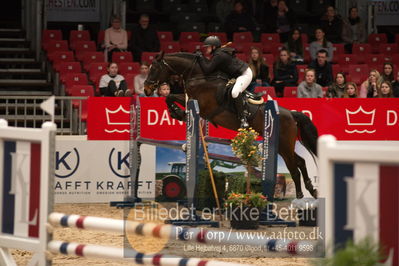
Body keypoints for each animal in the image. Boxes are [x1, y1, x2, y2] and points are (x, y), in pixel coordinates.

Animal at [144, 51, 318, 200]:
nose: (146, 89)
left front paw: (177, 113)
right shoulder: (192, 100)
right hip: (283, 146)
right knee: (301, 161)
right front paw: (177, 113)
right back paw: (311, 190)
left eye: (154, 69)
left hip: (283, 145)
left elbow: (172, 97)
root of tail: (291, 114)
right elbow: (171, 96)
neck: (200, 76)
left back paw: (300, 195)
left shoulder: (204, 107)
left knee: (294, 168)